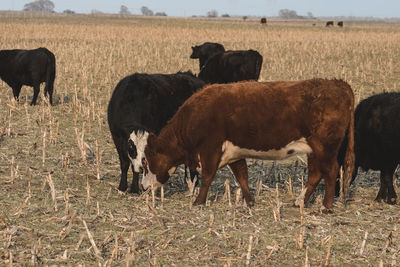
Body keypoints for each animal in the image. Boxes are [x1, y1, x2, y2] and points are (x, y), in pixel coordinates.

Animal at [140, 79, 354, 214]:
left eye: (145, 163)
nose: (143, 187)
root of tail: (338, 84)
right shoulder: (235, 153)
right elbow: (242, 175)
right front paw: (249, 201)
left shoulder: (210, 148)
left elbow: (208, 176)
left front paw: (199, 202)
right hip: (314, 150)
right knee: (315, 174)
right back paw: (299, 201)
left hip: (325, 148)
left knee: (331, 171)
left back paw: (326, 207)